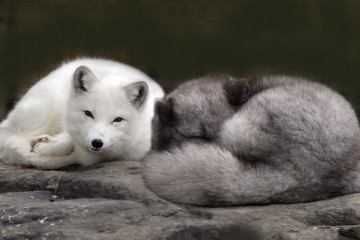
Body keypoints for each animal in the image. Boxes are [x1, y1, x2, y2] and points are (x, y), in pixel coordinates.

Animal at [0, 58, 163, 169]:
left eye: (117, 120)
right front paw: (42, 148)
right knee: (9, 137)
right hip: (43, 111)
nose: (97, 142)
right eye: (88, 113)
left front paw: (44, 146)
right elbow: (66, 145)